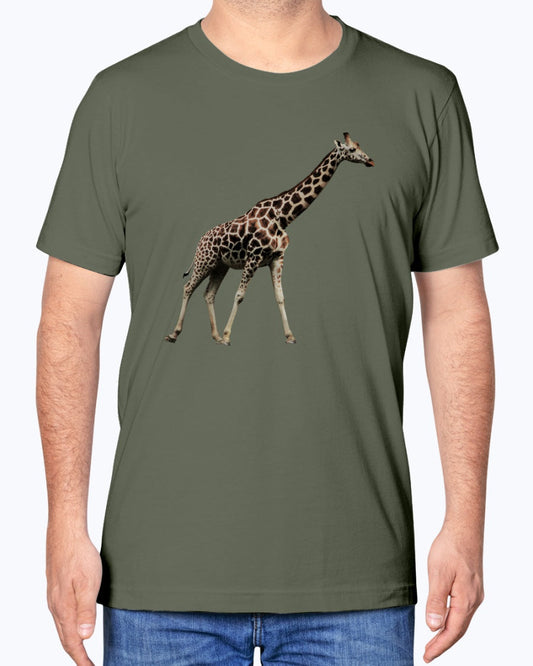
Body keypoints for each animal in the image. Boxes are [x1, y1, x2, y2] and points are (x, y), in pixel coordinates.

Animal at [165, 132, 374, 346]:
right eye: (351, 149)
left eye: (359, 145)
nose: (370, 160)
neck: (283, 217)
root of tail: (200, 241)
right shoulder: (253, 256)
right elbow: (239, 295)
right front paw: (228, 335)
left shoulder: (277, 258)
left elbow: (280, 296)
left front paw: (290, 336)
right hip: (204, 261)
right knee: (188, 287)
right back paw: (174, 334)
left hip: (220, 266)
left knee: (208, 294)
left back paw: (215, 336)